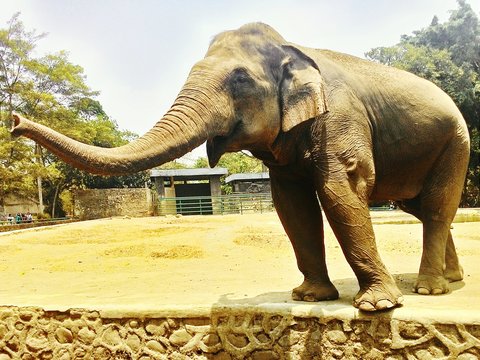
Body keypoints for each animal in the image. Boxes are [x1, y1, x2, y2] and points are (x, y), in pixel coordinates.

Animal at [11, 22, 468, 310]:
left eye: (240, 80)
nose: (13, 122)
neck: (292, 49)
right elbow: (291, 204)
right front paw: (309, 297)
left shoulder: (341, 117)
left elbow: (341, 191)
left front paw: (378, 306)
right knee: (423, 209)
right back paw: (451, 282)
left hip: (456, 143)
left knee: (437, 207)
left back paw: (430, 291)